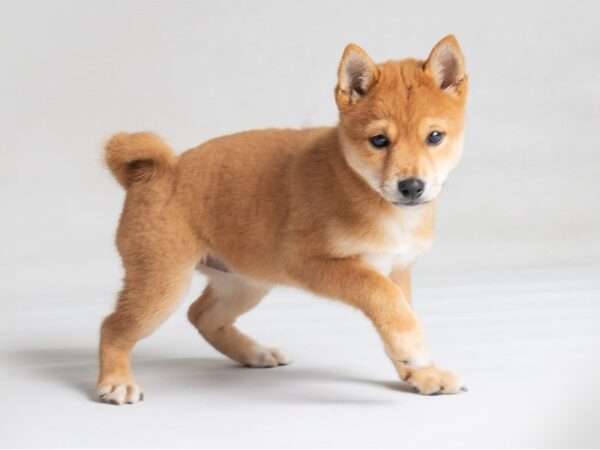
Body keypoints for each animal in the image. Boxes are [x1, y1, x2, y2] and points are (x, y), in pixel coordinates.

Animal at [99, 35, 468, 404]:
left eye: (435, 137)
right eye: (379, 140)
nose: (411, 187)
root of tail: (157, 172)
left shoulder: (397, 269)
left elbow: (401, 310)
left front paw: (422, 373)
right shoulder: (311, 262)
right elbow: (383, 296)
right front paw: (412, 349)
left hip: (245, 282)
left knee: (201, 315)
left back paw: (254, 353)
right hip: (163, 284)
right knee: (113, 327)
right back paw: (116, 380)